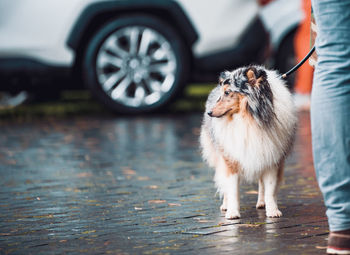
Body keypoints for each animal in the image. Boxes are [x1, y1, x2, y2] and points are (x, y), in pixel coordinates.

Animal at [200, 64, 296, 218]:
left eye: (227, 92)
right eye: (222, 93)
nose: (209, 112)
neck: (248, 119)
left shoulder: (272, 158)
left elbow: (269, 188)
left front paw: (273, 210)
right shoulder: (231, 158)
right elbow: (232, 189)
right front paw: (233, 213)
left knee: (261, 184)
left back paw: (262, 203)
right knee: (224, 183)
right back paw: (225, 205)